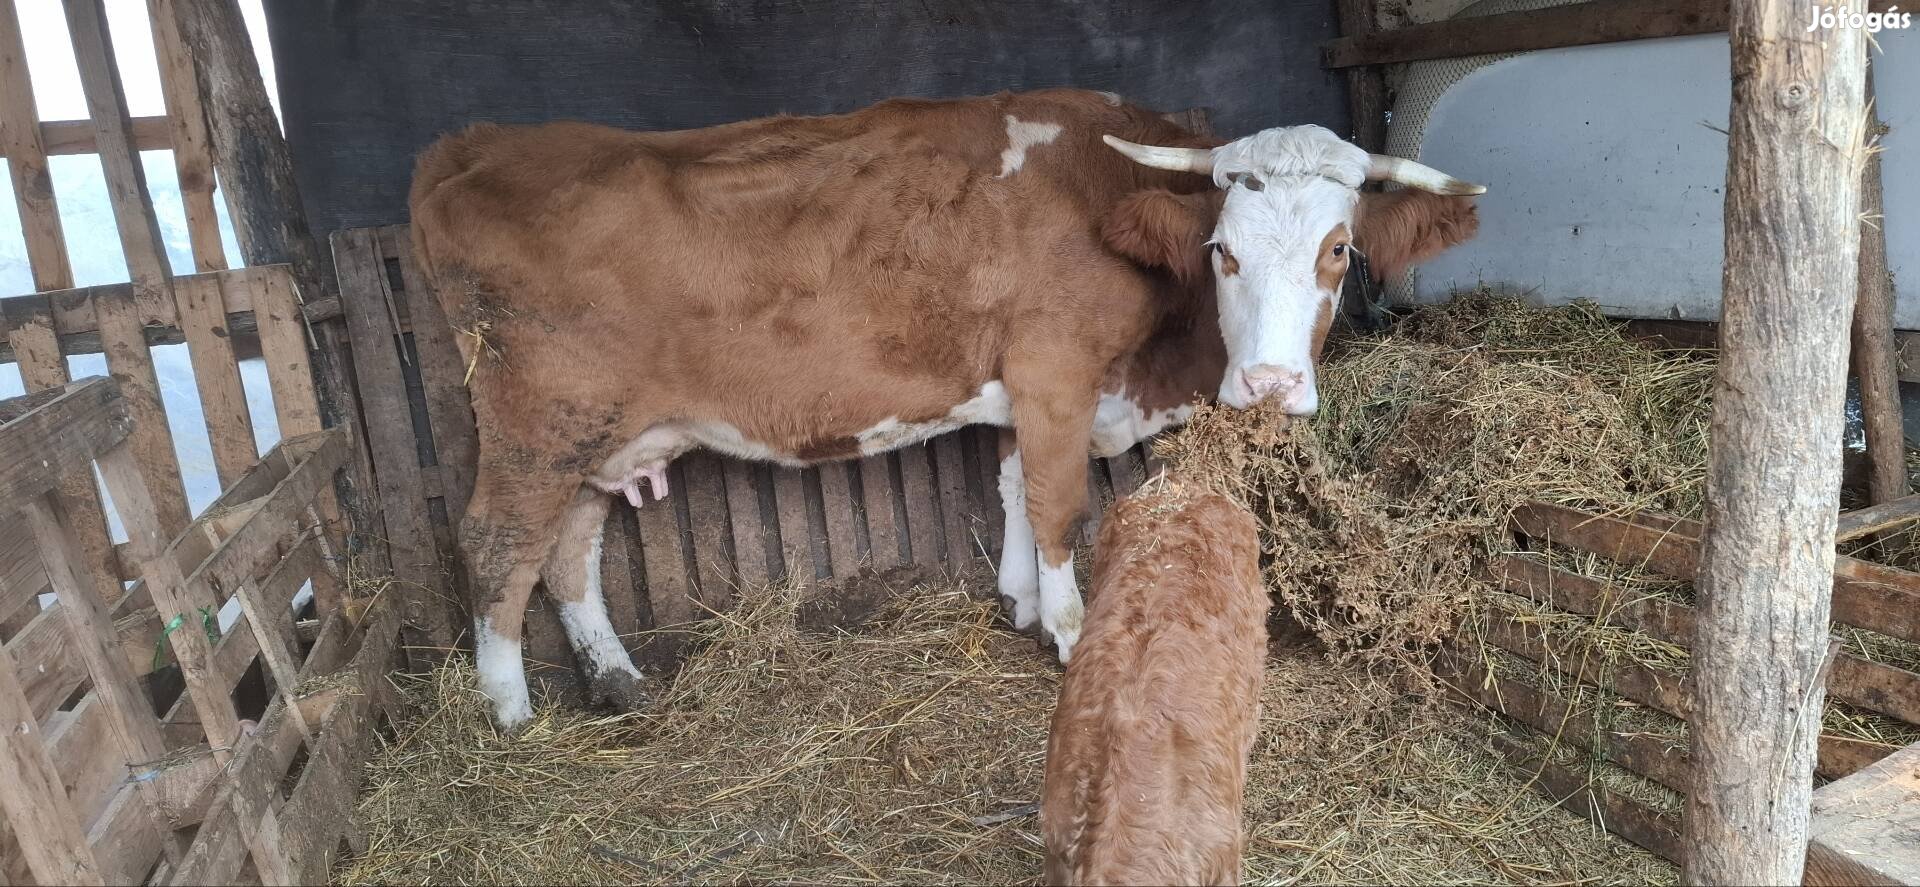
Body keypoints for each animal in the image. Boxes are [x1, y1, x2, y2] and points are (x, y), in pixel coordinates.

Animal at [408, 86, 1482, 729]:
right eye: (1222, 248)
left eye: (1338, 248)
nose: (1267, 385)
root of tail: (478, 142)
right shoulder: (1056, 371)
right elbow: (1059, 505)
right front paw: (1067, 632)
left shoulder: (1022, 391)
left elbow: (1010, 486)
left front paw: (1017, 601)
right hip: (538, 419)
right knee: (496, 542)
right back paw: (509, 712)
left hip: (606, 434)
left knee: (570, 546)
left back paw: (617, 680)